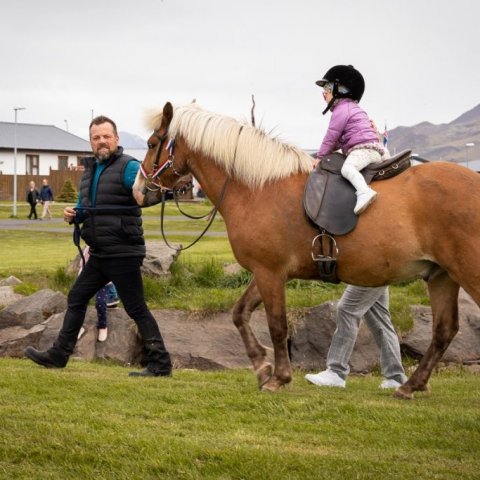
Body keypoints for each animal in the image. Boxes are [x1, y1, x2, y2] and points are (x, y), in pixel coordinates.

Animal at [132, 100, 480, 398]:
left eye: (151, 144)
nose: (138, 190)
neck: (258, 188)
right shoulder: (265, 273)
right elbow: (240, 314)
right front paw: (262, 366)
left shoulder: (271, 273)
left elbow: (277, 324)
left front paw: (279, 377)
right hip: (441, 276)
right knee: (444, 330)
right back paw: (410, 385)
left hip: (466, 272)